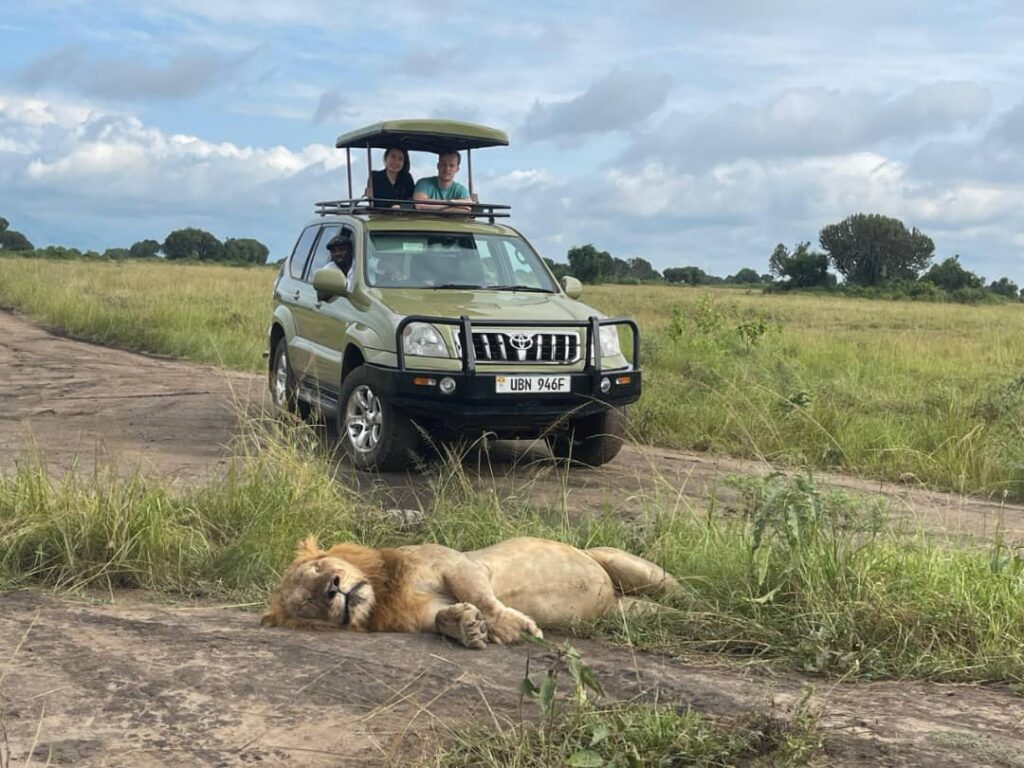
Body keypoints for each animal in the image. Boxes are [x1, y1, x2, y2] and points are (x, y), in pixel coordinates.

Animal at [261, 536, 682, 648]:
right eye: (307, 601)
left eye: (318, 569)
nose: (332, 588)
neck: (384, 593)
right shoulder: (422, 614)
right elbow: (442, 618)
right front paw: (466, 627)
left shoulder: (456, 564)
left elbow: (481, 596)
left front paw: (513, 627)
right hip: (626, 611)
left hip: (619, 562)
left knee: (680, 593)